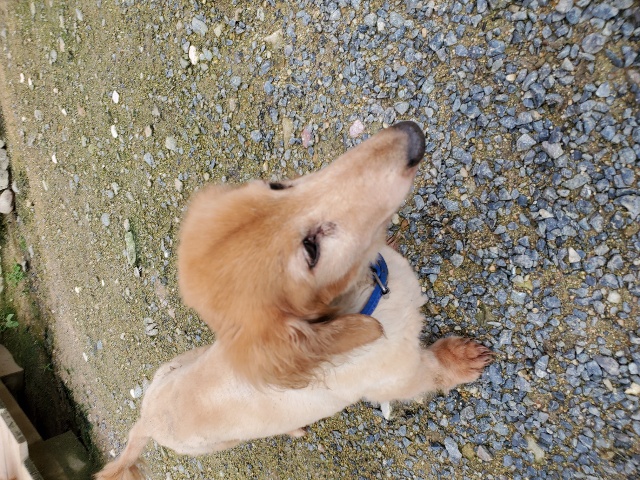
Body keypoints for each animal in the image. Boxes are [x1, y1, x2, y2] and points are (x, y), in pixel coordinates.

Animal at [95, 121, 492, 479]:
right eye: (311, 250)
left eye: (277, 186)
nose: (410, 135)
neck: (367, 299)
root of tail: (146, 421)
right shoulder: (401, 377)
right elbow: (434, 371)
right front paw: (461, 359)